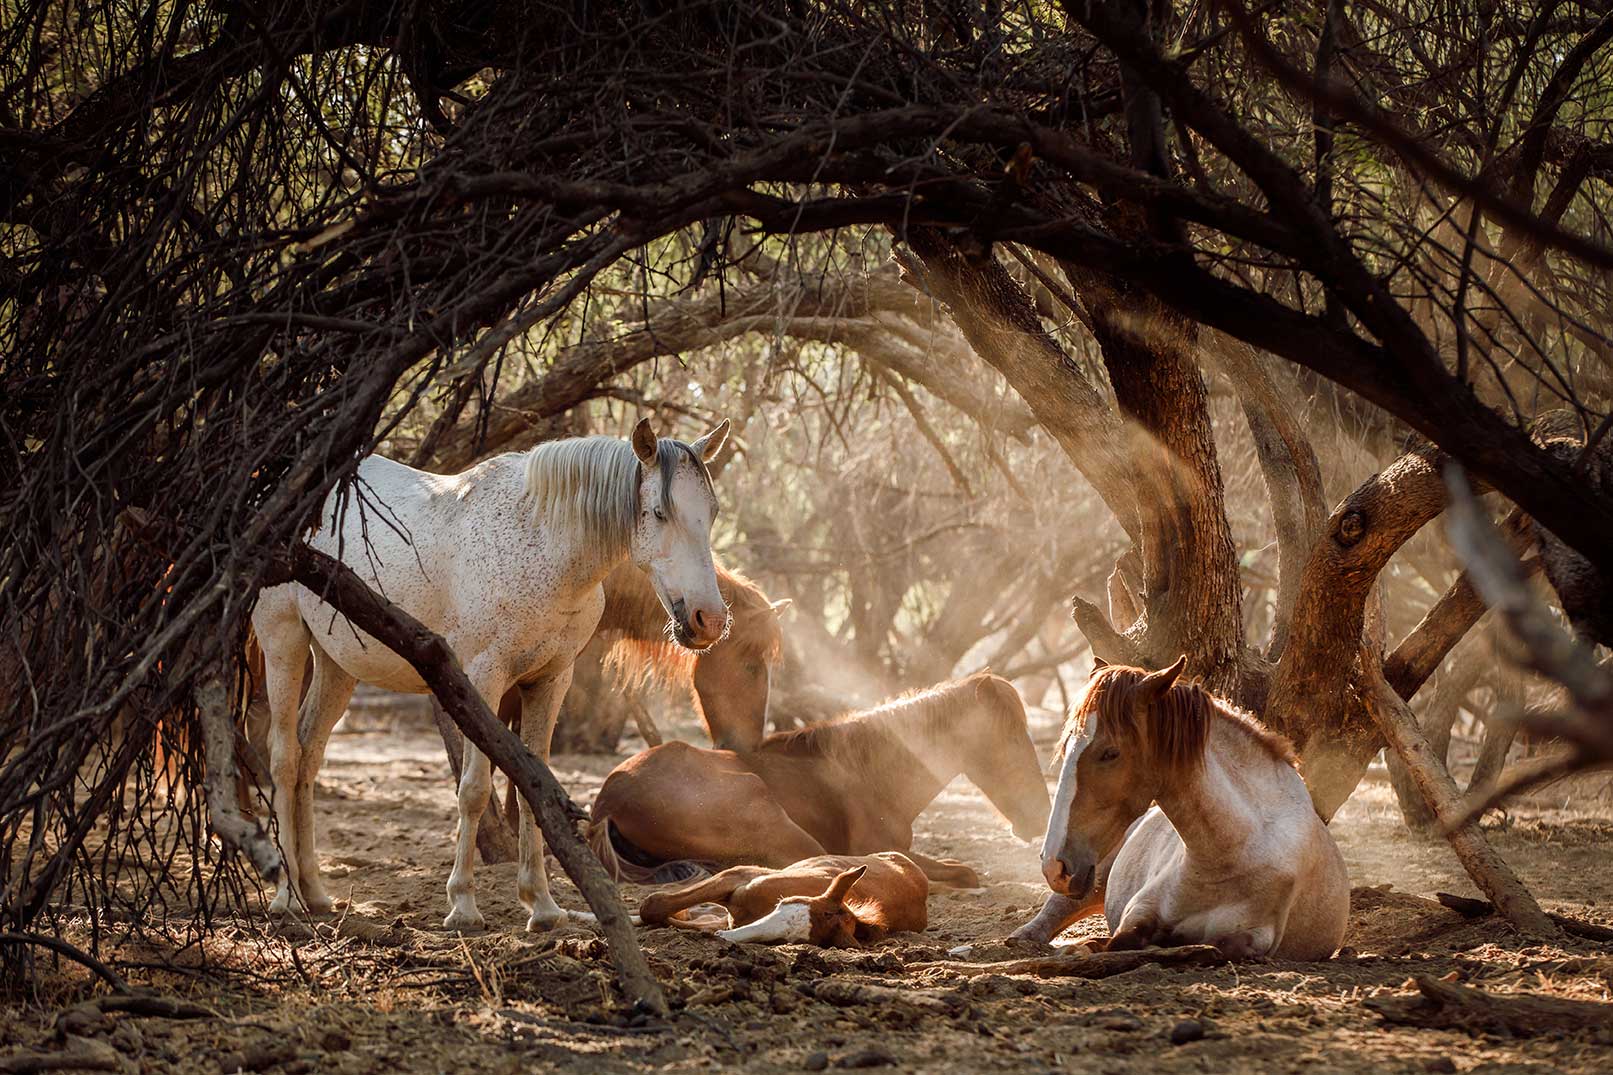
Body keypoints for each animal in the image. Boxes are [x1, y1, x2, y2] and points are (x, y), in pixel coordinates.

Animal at [251, 417, 730, 931]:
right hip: (284, 642)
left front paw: (542, 906)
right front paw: (463, 905)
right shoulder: (484, 678)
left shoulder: (550, 682)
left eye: (712, 512)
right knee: (284, 758)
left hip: (337, 664)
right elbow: (474, 791)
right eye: (659, 512)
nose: (708, 620)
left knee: (309, 755)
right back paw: (287, 897)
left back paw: (315, 892)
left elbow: (532, 790)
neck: (542, 545)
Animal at [638, 853, 929, 947]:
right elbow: (654, 906)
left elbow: (655, 907)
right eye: (782, 904)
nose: (726, 938)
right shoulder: (738, 876)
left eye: (791, 940)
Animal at [1024, 657, 1349, 959]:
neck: (1230, 852)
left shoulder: (1255, 937)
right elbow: (1121, 940)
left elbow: (1217, 947)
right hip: (1094, 878)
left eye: (1110, 753)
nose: (1054, 866)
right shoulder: (1138, 912)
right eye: (1066, 747)